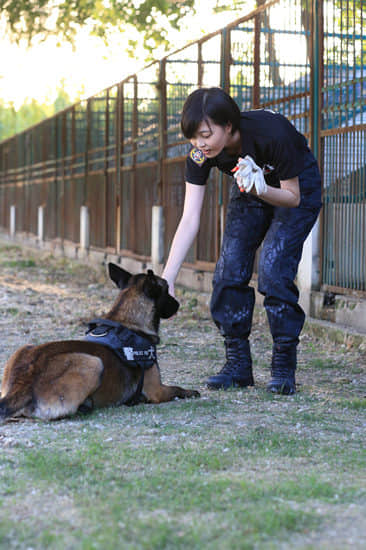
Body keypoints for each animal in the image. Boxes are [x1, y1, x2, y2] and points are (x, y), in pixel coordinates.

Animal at [0, 264, 200, 422]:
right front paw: (191, 392)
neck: (128, 319)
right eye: (166, 290)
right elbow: (177, 389)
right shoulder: (157, 390)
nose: (177, 303)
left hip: (24, 347)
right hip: (93, 363)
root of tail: (23, 382)